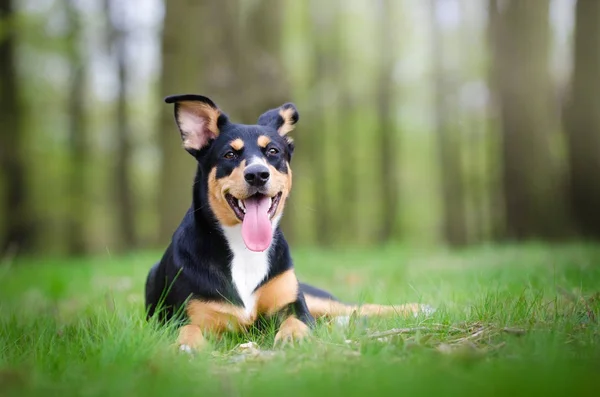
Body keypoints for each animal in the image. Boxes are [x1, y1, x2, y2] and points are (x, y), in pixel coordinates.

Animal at [143, 93, 428, 350]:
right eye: (229, 155)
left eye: (272, 151)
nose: (257, 174)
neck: (243, 249)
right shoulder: (185, 316)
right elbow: (187, 329)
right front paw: (187, 345)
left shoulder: (294, 305)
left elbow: (296, 321)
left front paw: (293, 336)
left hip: (317, 298)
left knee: (356, 307)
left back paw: (417, 308)